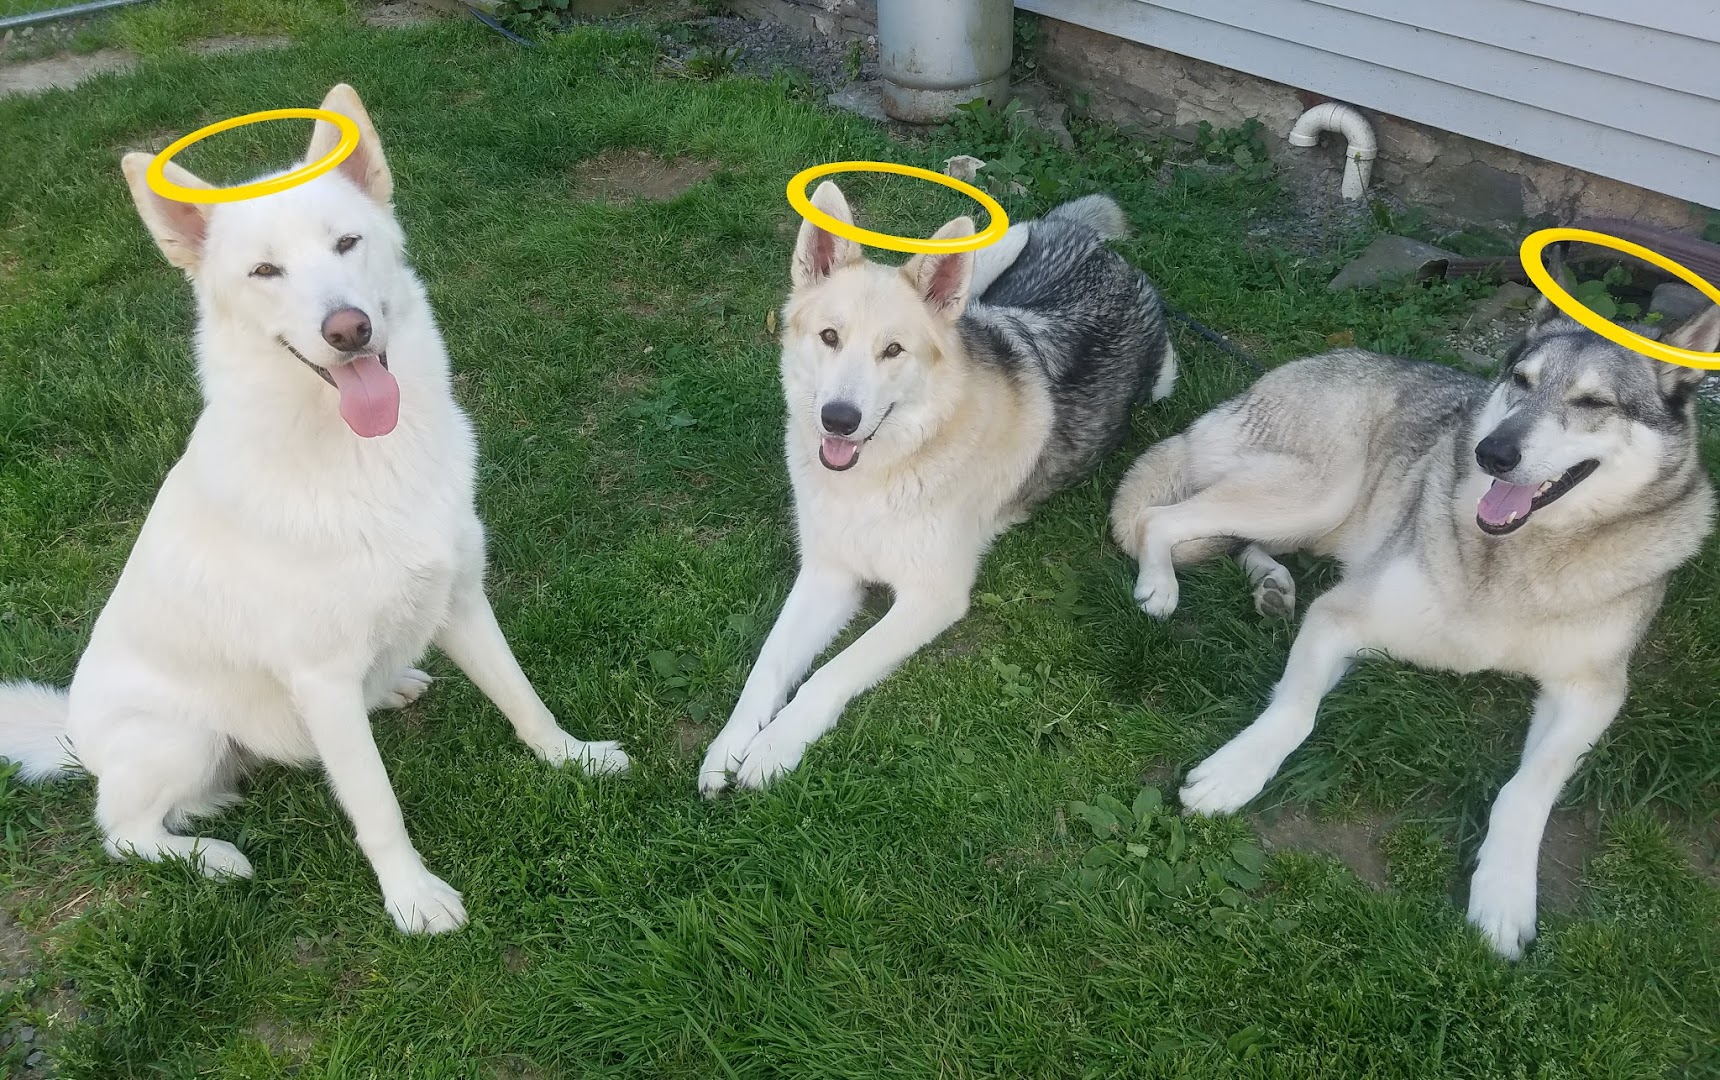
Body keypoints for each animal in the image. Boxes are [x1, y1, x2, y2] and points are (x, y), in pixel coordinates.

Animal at [0, 84, 629, 935]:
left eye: (346, 243)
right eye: (265, 270)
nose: (349, 329)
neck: (364, 457)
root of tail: (71, 730)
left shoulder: (461, 601)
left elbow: (522, 698)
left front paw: (573, 759)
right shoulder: (322, 681)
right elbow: (378, 806)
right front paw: (413, 900)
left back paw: (391, 685)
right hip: (181, 739)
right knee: (122, 831)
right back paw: (211, 857)